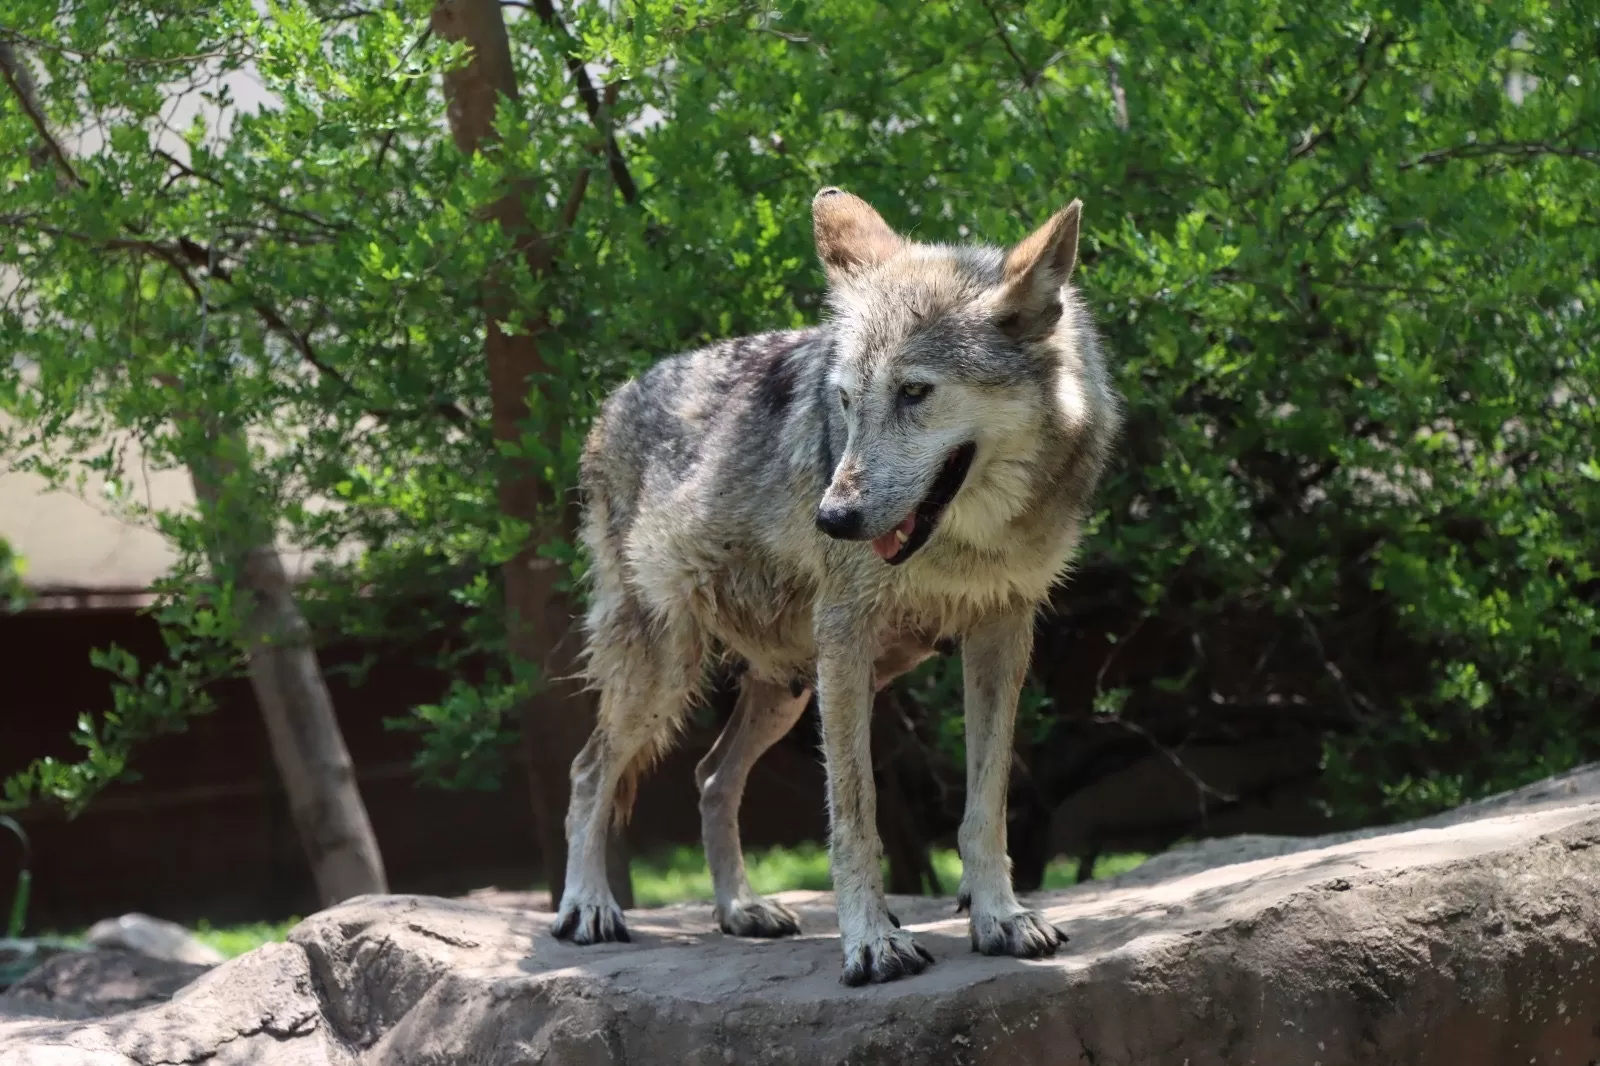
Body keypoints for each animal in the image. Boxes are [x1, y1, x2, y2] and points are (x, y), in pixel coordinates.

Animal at [556, 186, 1120, 985]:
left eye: (915, 392)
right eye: (847, 401)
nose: (832, 518)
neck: (967, 543)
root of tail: (610, 403)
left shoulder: (1002, 633)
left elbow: (986, 806)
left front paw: (1000, 918)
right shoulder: (848, 637)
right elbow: (856, 812)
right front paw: (872, 942)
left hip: (791, 689)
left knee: (710, 776)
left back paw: (739, 910)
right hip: (671, 676)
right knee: (588, 772)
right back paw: (588, 908)